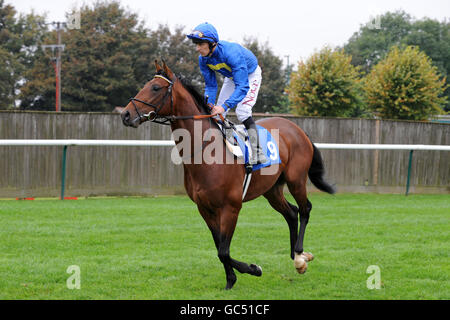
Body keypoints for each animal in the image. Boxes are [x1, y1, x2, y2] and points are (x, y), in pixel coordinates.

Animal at [119, 60, 334, 290]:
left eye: (155, 88)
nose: (125, 114)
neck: (206, 151)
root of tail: (297, 128)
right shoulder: (204, 208)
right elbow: (220, 248)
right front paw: (233, 278)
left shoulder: (231, 207)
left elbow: (223, 250)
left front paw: (251, 269)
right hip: (271, 189)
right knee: (291, 213)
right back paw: (295, 255)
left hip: (296, 180)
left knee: (305, 209)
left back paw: (301, 257)